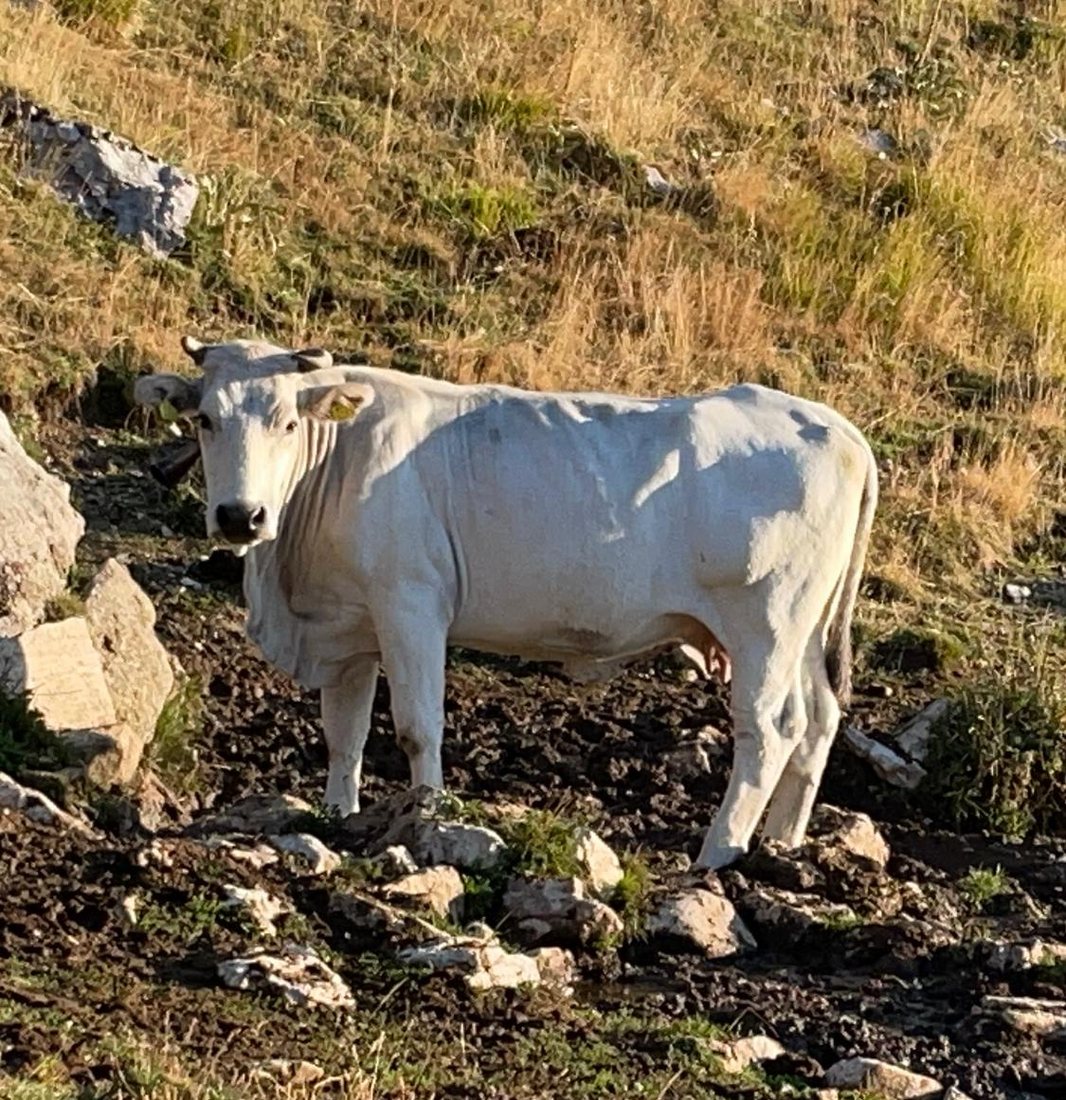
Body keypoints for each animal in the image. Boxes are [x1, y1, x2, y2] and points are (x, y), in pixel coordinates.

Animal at [135, 337, 878, 870]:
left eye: (287, 421)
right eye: (205, 419)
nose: (241, 516)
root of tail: (838, 428)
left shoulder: (411, 604)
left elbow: (417, 726)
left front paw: (426, 819)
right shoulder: (349, 626)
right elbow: (344, 734)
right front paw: (337, 819)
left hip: (767, 625)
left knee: (769, 732)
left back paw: (718, 854)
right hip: (804, 632)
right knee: (817, 721)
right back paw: (782, 848)